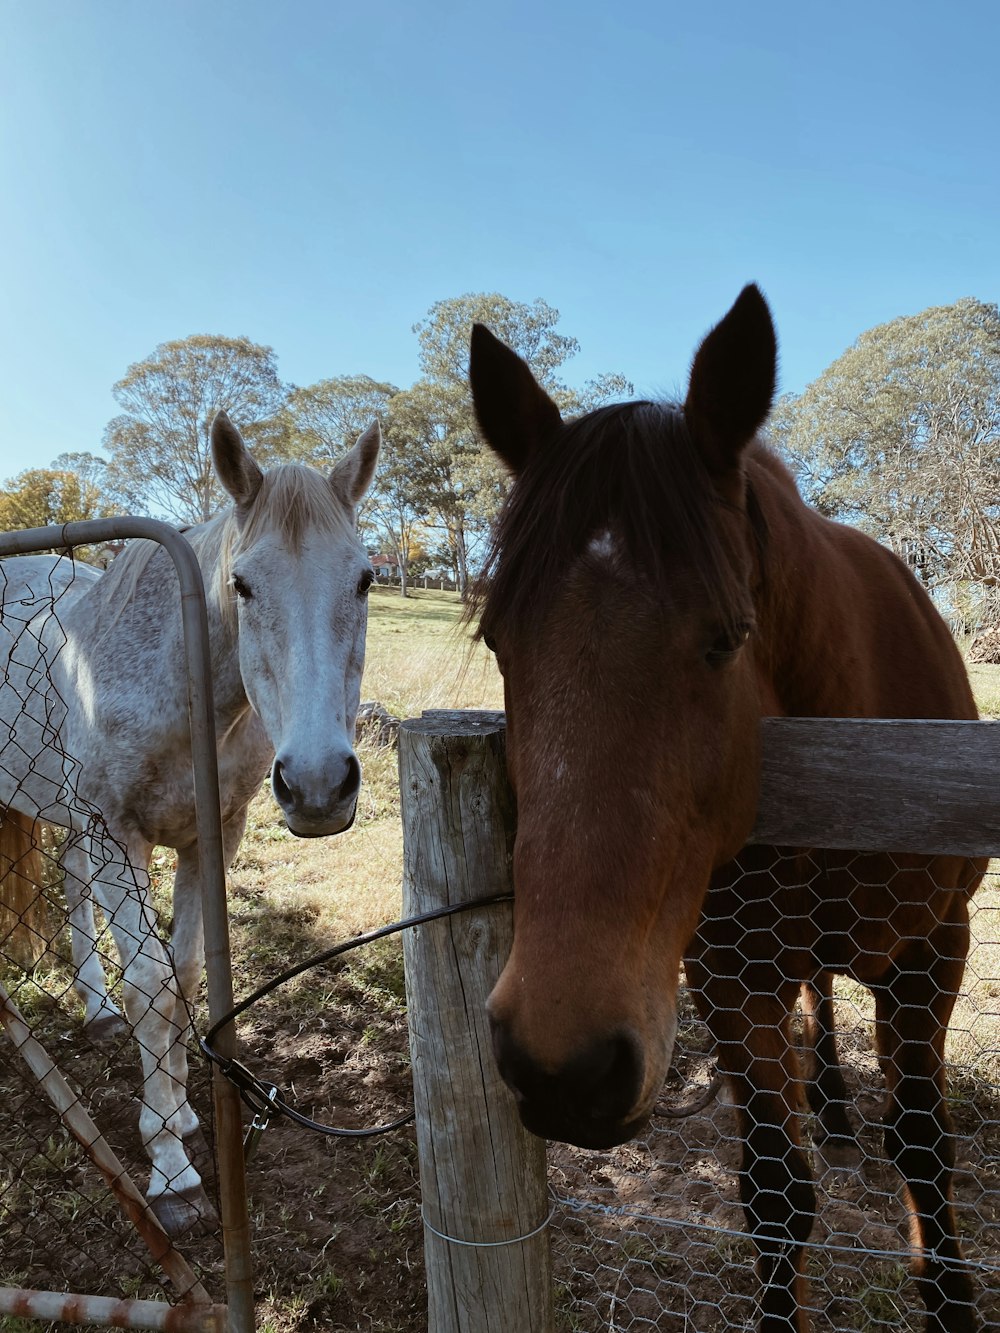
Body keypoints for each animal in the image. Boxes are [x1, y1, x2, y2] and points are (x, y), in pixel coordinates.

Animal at [0, 410, 378, 1231]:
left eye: (366, 578)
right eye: (242, 584)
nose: (318, 784)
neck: (177, 684)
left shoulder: (211, 836)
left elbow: (185, 975)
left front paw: (182, 1115)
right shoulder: (119, 833)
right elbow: (151, 980)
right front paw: (170, 1170)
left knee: (73, 887)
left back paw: (96, 1012)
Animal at [469, 289, 986, 1333]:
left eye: (726, 638)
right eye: (500, 639)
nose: (561, 1065)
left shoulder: (934, 951)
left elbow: (923, 1147)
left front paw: (950, 1299)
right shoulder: (730, 983)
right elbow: (777, 1195)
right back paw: (831, 1105)